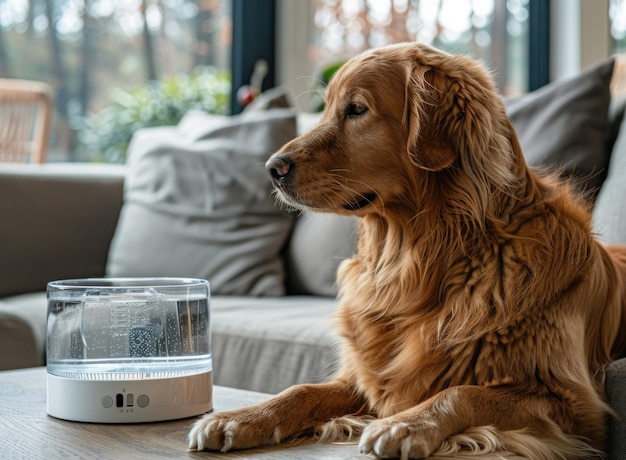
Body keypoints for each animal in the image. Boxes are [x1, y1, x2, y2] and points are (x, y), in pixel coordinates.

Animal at [188, 42, 624, 456]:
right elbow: (301, 390)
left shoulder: (575, 406)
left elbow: (462, 392)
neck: (415, 262)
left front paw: (408, 424)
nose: (272, 169)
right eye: (326, 108)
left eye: (357, 109)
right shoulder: (363, 378)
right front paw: (242, 417)